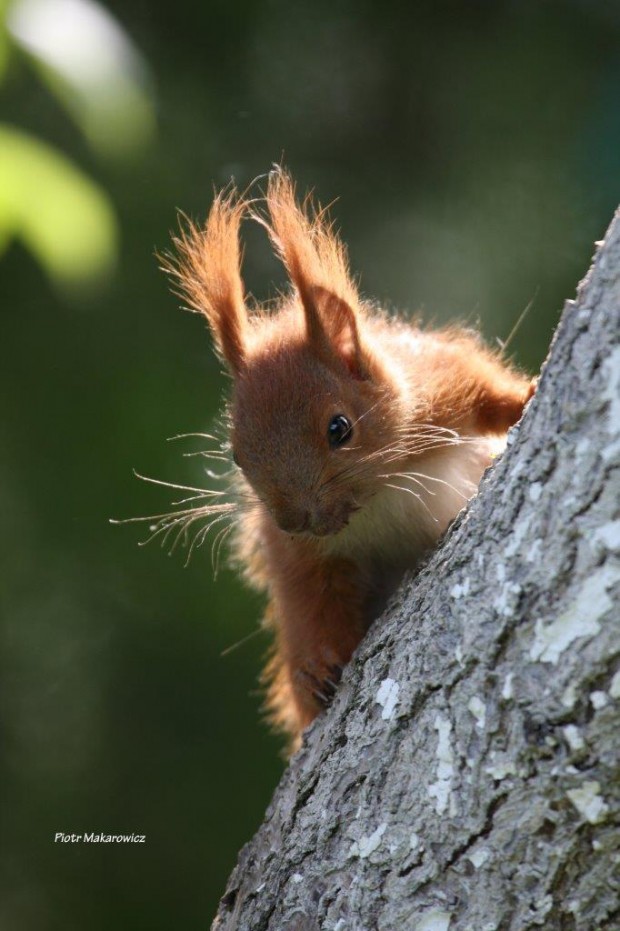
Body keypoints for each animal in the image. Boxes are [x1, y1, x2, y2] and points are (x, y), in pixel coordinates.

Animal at [157, 167, 536, 748]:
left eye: (340, 428)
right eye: (237, 455)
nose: (299, 519)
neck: (377, 498)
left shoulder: (440, 387)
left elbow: (486, 392)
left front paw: (528, 396)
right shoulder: (299, 555)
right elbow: (310, 600)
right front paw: (316, 666)